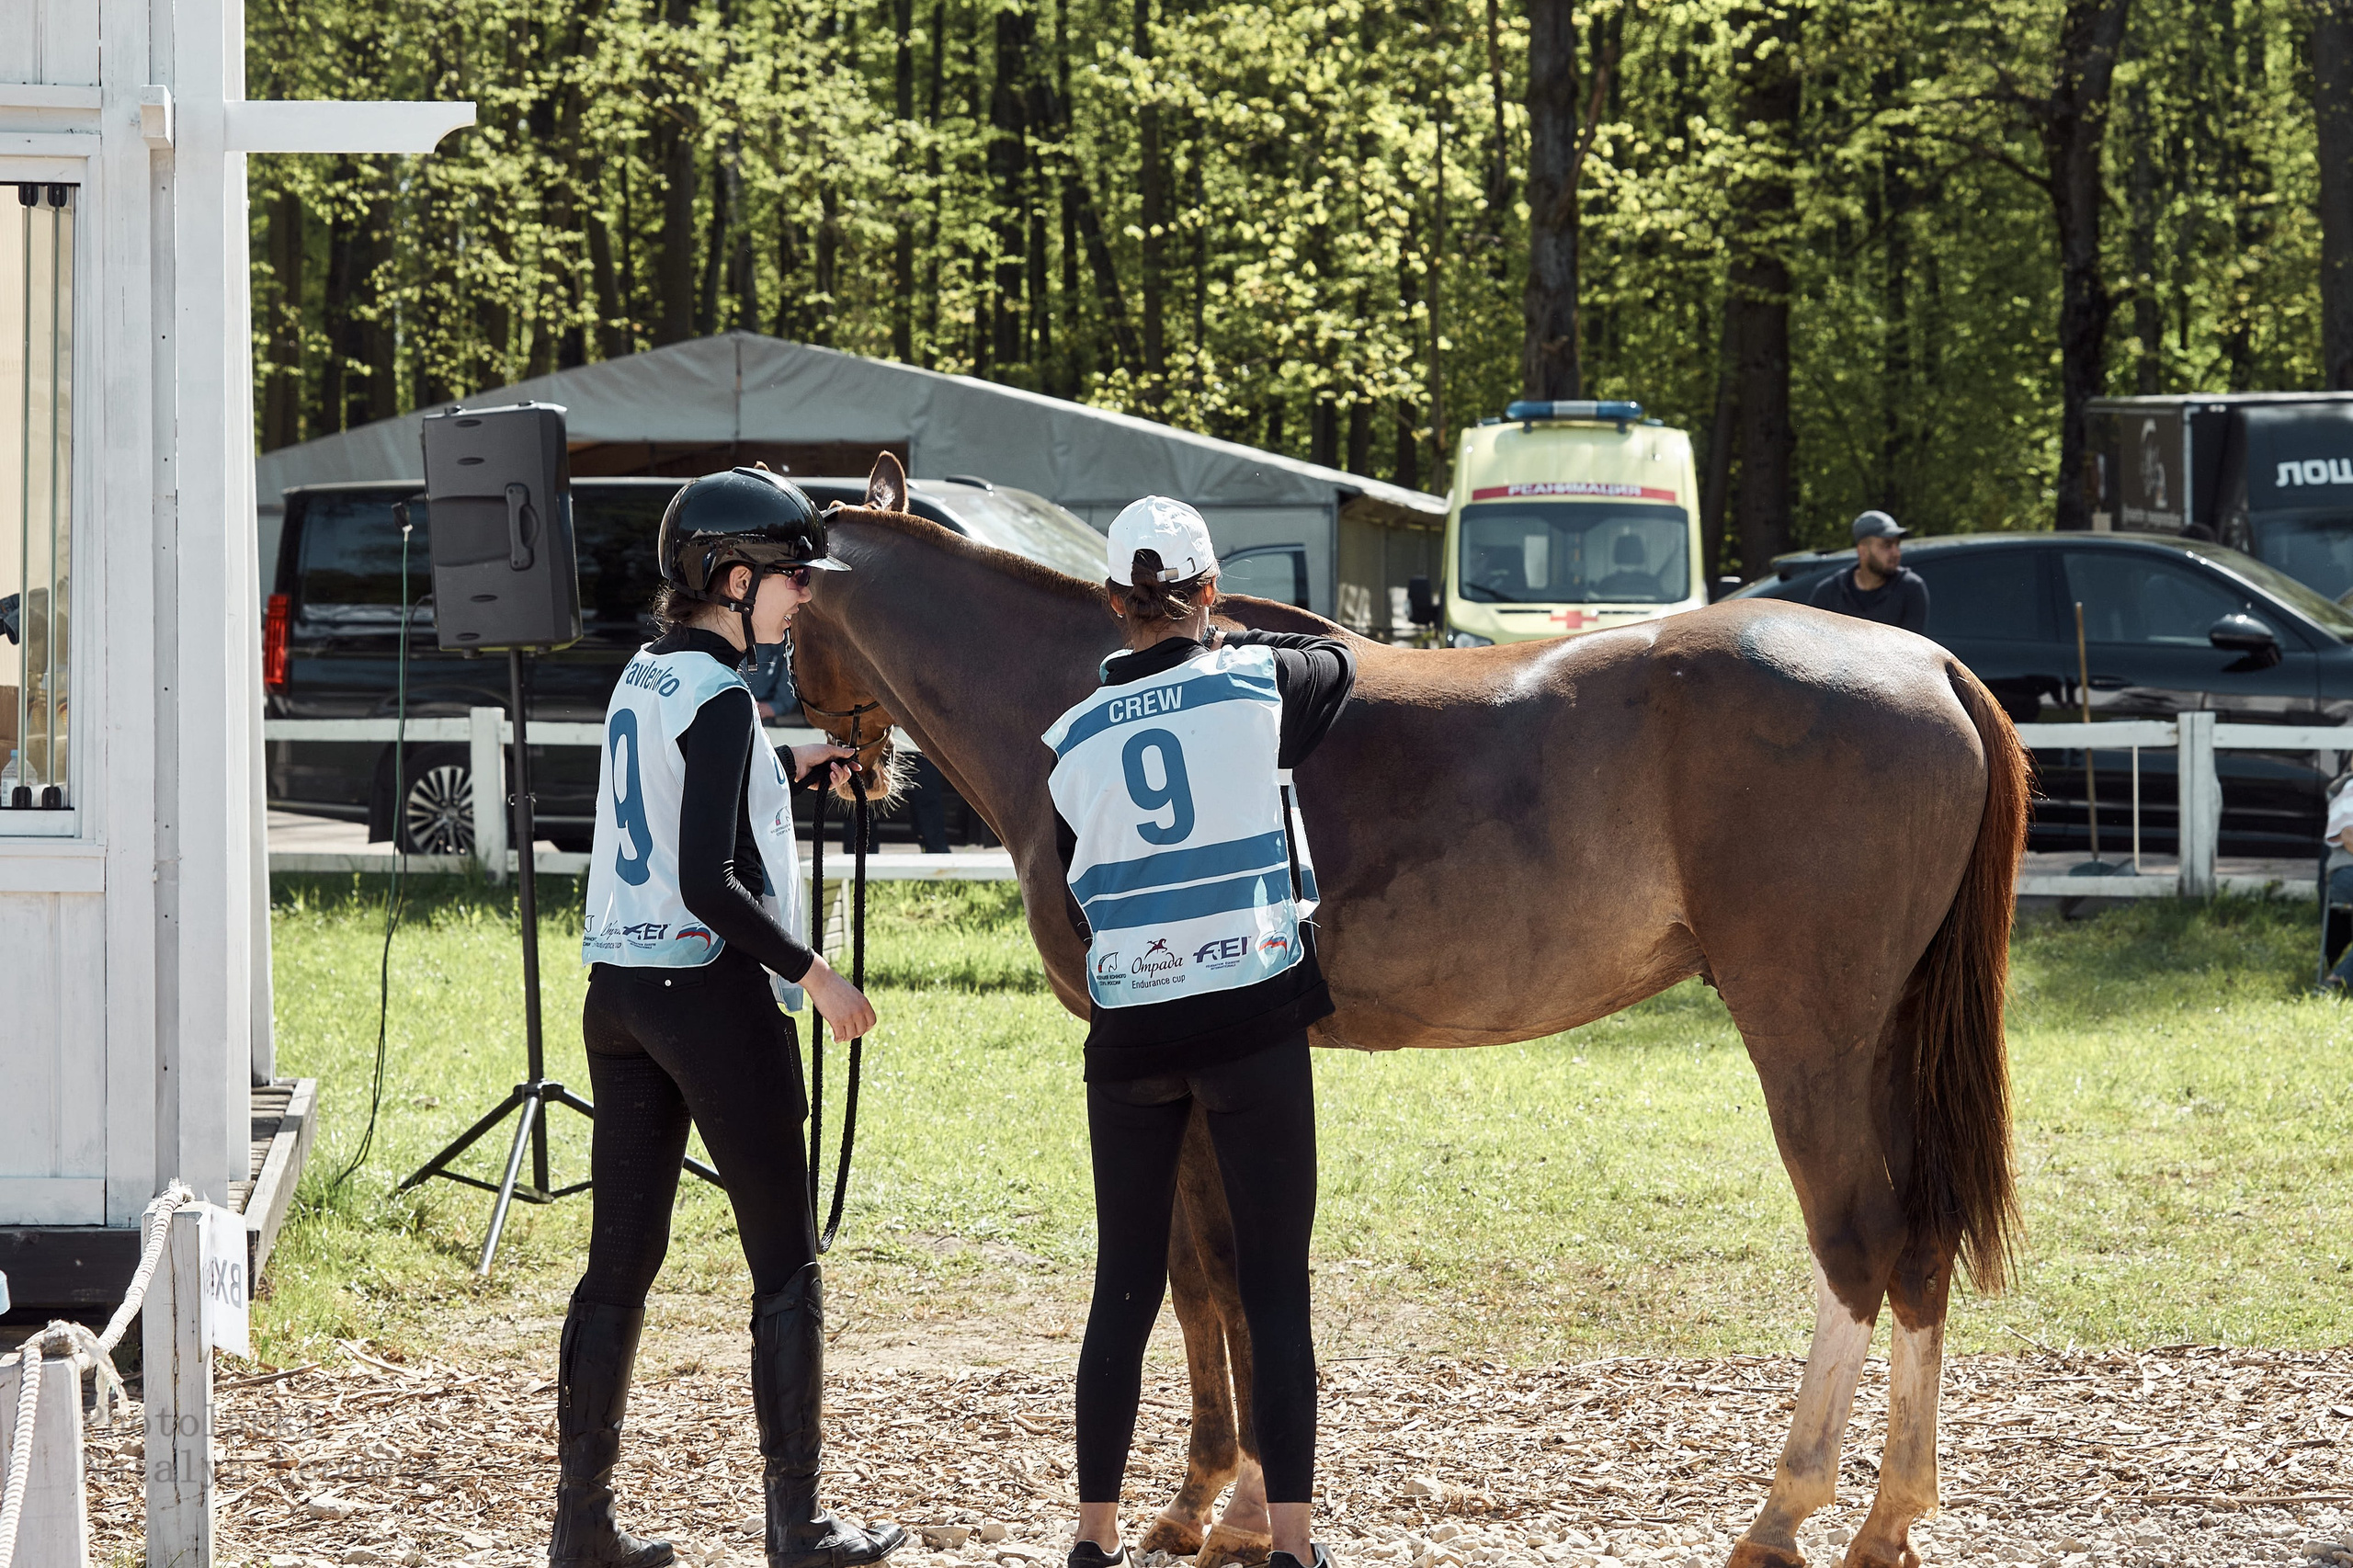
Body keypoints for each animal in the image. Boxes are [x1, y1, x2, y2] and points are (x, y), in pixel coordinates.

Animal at [794, 455, 2026, 1568]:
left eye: (790, 629)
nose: (841, 763)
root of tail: (1928, 664)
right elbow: (1202, 1283)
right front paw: (1201, 1498)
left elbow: (1219, 1277)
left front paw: (1238, 1508)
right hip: (1882, 1044)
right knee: (1921, 1245)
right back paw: (1889, 1519)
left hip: (1808, 1040)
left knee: (1857, 1241)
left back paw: (1783, 1513)